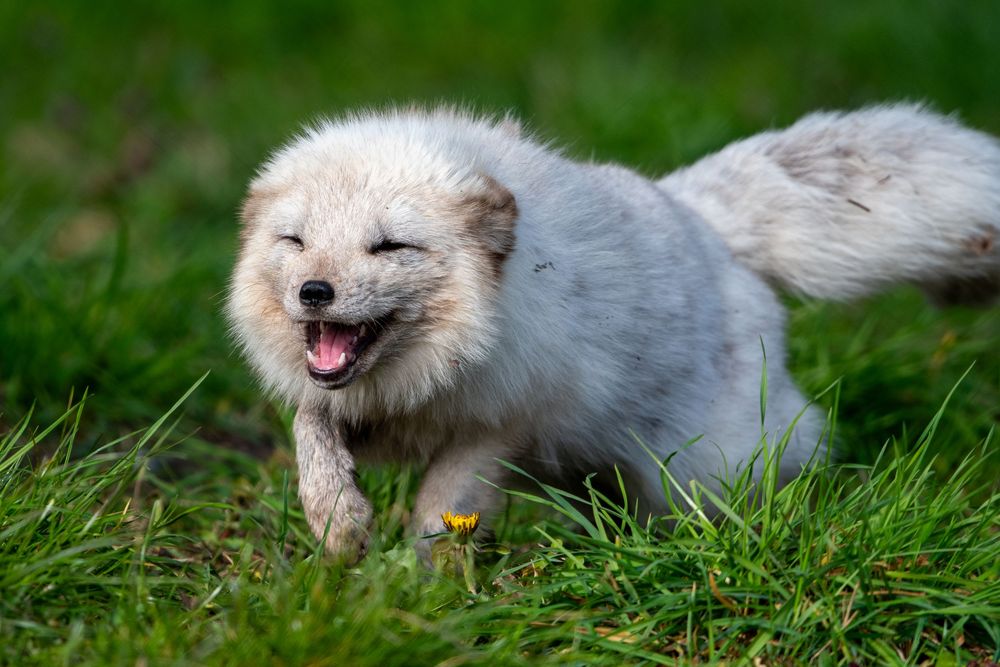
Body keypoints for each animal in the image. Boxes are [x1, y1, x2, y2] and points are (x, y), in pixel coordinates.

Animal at [226, 104, 1000, 563]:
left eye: (389, 246)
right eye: (295, 241)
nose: (314, 292)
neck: (427, 375)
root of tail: (704, 221)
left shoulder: (500, 425)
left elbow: (441, 507)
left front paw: (416, 587)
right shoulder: (351, 403)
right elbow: (310, 433)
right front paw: (339, 524)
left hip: (701, 466)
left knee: (784, 462)